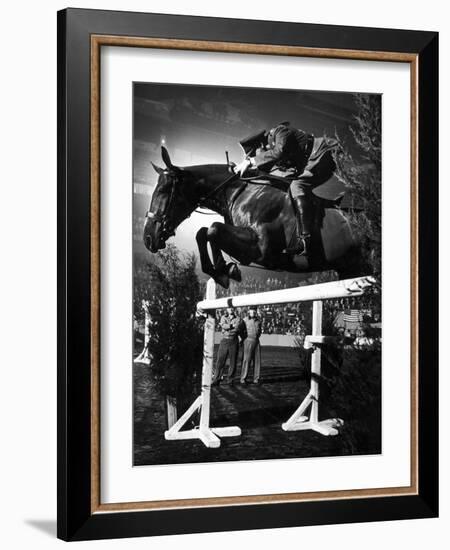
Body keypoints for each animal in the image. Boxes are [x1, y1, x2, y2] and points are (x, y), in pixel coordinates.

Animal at [144, 149, 366, 292]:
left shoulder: (261, 249)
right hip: (349, 269)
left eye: (163, 190)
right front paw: (221, 271)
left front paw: (225, 270)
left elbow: (213, 229)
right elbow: (203, 232)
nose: (147, 238)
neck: (237, 192)